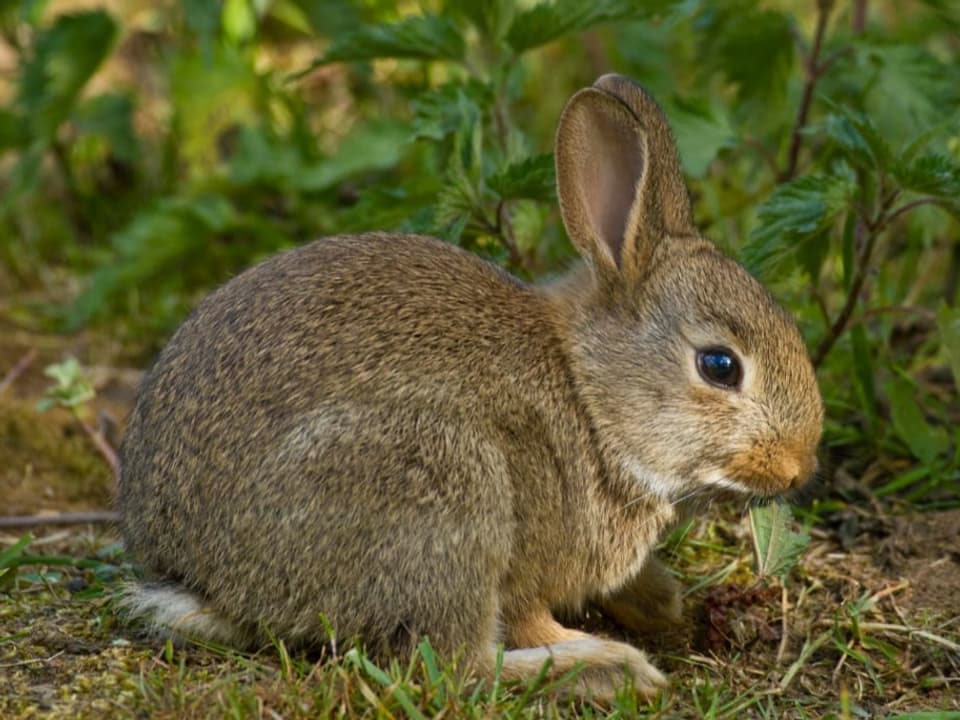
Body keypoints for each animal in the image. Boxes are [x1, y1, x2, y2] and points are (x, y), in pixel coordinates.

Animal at [116, 74, 820, 704]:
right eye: (720, 366)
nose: (797, 467)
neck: (590, 395)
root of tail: (203, 578)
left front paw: (661, 600)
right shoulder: (524, 554)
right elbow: (524, 618)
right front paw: (600, 648)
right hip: (438, 486)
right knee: (450, 663)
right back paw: (607, 670)